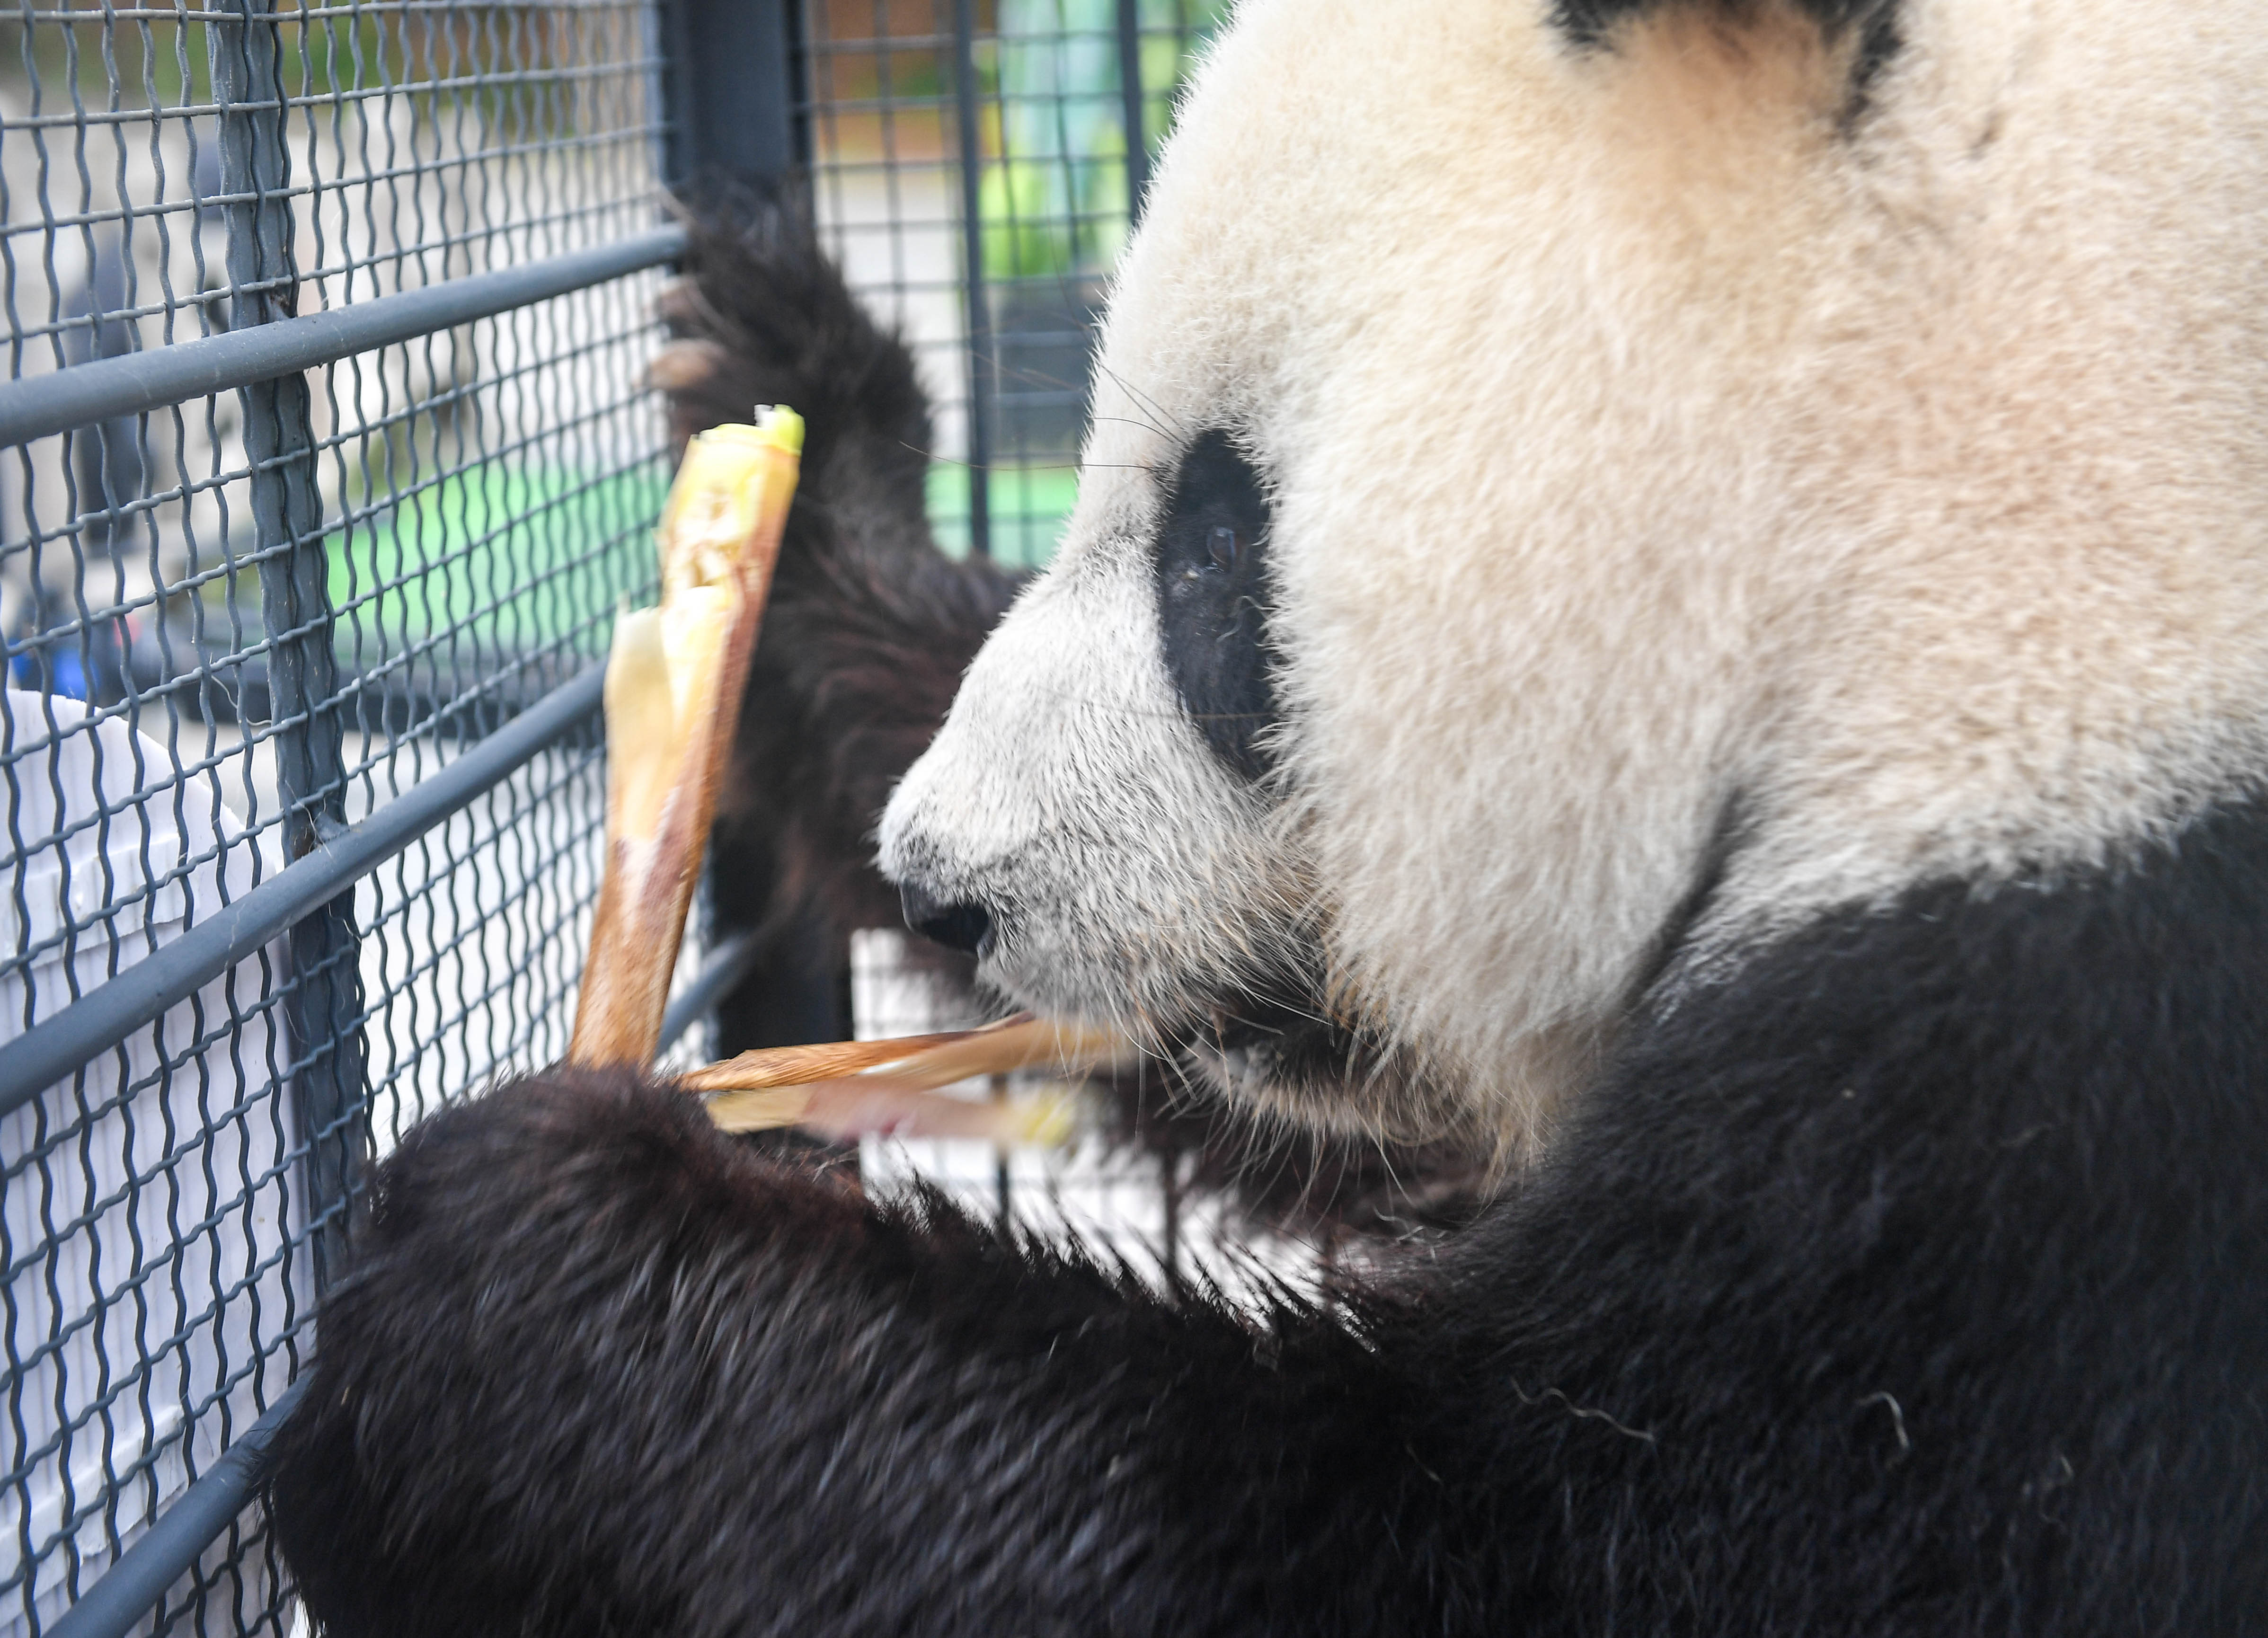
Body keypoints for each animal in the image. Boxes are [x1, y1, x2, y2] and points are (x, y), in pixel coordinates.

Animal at [268, 1, 2268, 1633]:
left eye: (1213, 555)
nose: (942, 885)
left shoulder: (2083, 1124)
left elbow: (1465, 1552)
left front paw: (500, 1296)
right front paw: (798, 434)